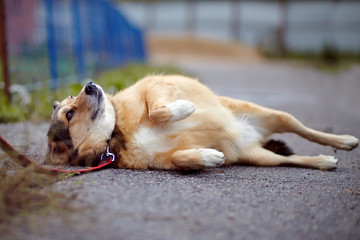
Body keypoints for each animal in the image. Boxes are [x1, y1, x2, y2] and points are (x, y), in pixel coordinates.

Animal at [45, 75, 358, 171]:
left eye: (72, 98)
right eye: (69, 114)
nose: (89, 84)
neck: (116, 132)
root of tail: (252, 135)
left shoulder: (155, 86)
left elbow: (158, 110)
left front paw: (184, 107)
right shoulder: (165, 161)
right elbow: (181, 158)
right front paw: (208, 157)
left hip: (275, 115)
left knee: (305, 129)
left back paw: (343, 141)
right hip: (262, 157)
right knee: (292, 160)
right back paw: (322, 161)